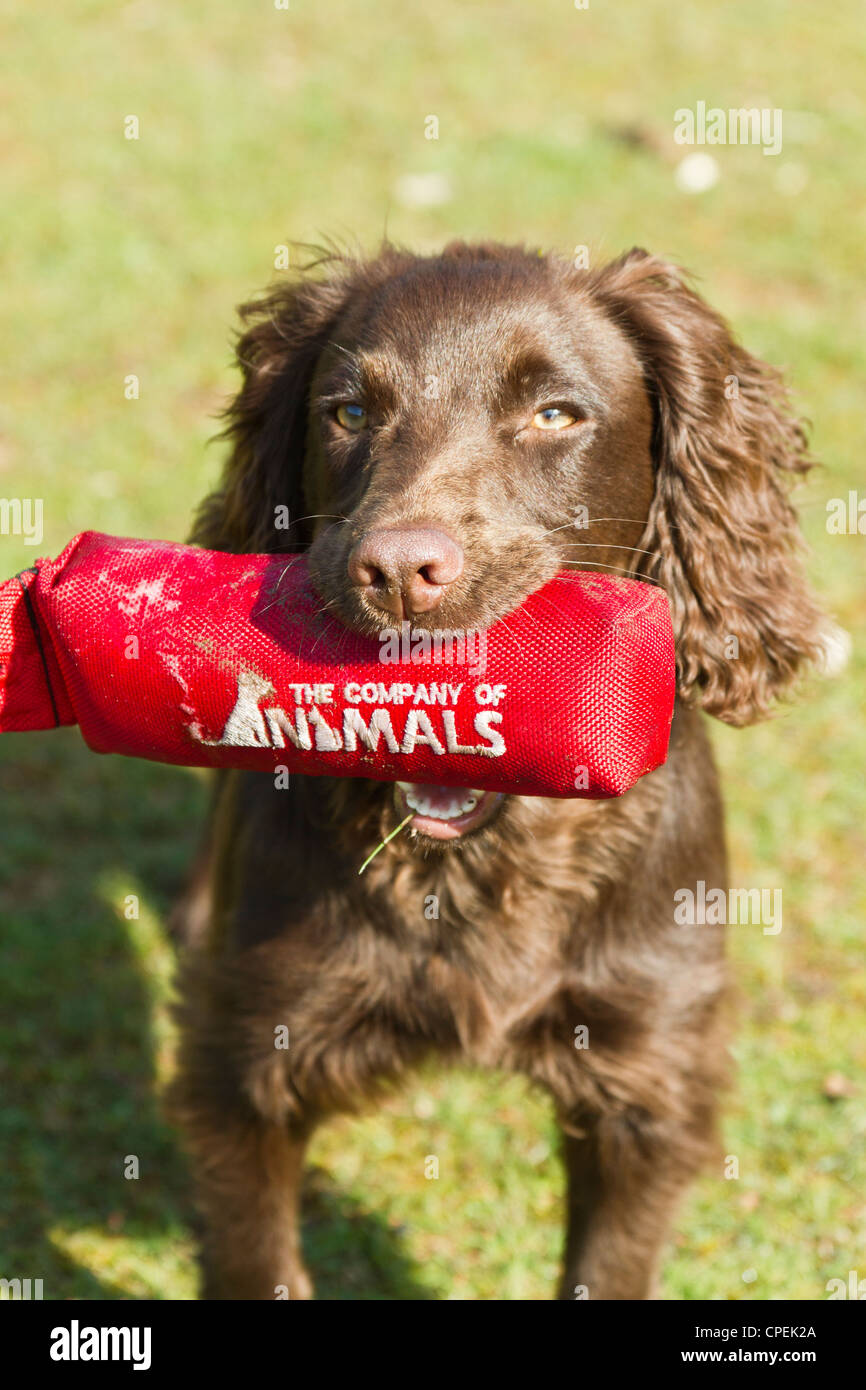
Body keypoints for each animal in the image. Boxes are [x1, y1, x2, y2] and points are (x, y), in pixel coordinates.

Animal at [167, 244, 828, 1295]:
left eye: (556, 414)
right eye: (348, 412)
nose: (398, 573)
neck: (483, 866)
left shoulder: (650, 1069)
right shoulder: (246, 1054)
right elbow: (254, 1254)